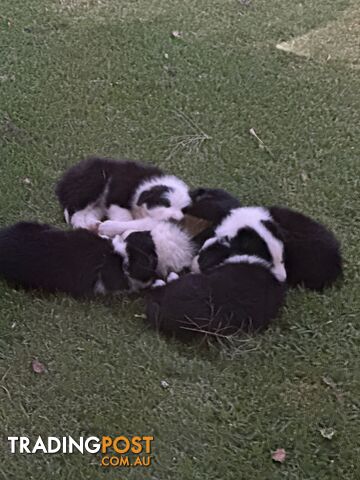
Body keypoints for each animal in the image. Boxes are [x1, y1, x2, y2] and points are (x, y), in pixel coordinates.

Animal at [55, 157, 191, 232]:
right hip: (92, 184)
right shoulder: (116, 195)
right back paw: (82, 226)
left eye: (183, 210)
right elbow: (124, 216)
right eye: (165, 204)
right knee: (75, 213)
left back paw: (94, 224)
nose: (175, 220)